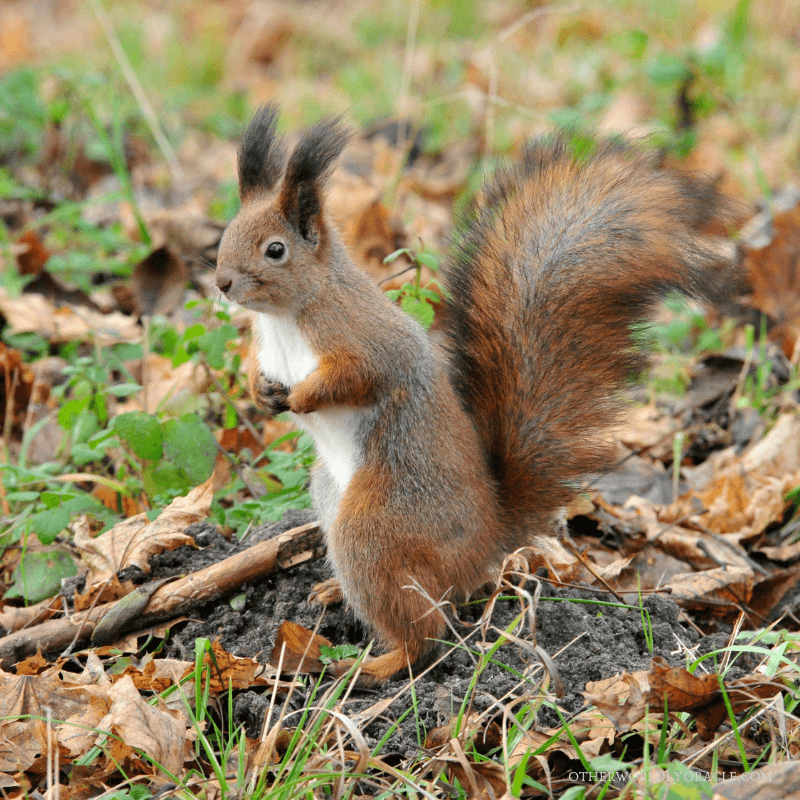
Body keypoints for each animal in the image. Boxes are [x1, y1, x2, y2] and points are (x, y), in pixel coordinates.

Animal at [215, 104, 742, 686]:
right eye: (227, 232)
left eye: (275, 250)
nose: (221, 282)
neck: (286, 319)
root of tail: (487, 540)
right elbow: (259, 374)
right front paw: (261, 392)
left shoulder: (363, 339)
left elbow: (358, 376)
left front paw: (304, 398)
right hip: (332, 498)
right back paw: (335, 592)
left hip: (375, 525)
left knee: (425, 631)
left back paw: (376, 665)